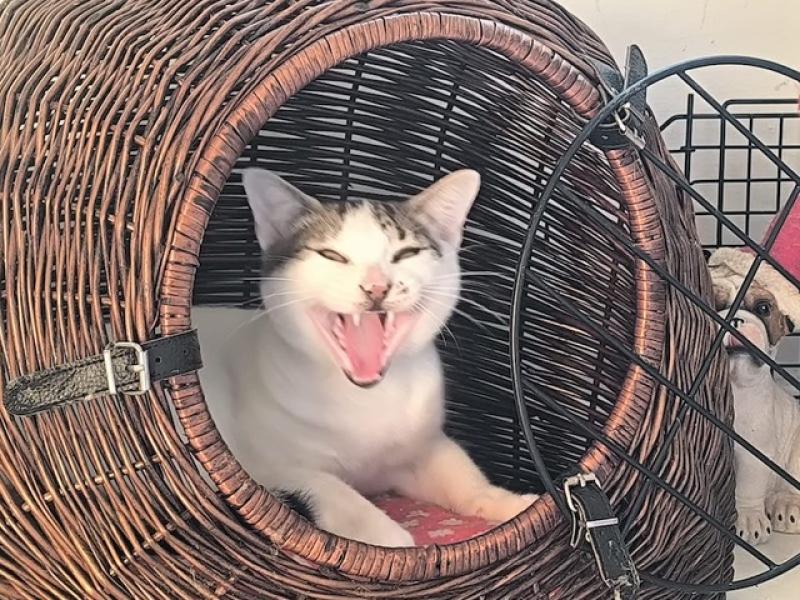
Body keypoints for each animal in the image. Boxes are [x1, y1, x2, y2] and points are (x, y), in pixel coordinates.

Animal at [210, 168, 537, 547]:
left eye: (406, 253)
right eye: (331, 255)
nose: (376, 286)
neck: (368, 398)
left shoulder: (421, 448)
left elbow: (462, 474)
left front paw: (510, 504)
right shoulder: (261, 465)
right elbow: (335, 492)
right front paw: (391, 543)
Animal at [715, 282, 800, 545]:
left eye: (763, 308)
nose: (735, 319)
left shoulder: (753, 453)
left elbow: (748, 488)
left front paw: (749, 519)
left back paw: (786, 506)